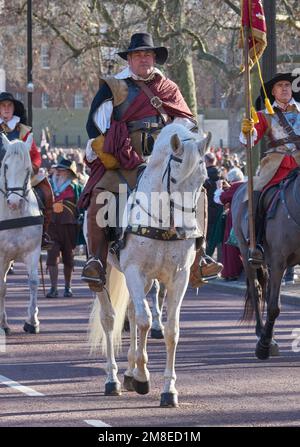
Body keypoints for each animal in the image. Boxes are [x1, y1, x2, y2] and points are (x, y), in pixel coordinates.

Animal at [86, 124, 209, 408]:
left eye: (203, 180)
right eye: (174, 180)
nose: (188, 231)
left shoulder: (178, 277)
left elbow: (171, 330)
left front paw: (168, 390)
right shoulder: (134, 270)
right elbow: (144, 321)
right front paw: (142, 376)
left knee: (131, 312)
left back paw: (129, 372)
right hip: (108, 272)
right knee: (111, 318)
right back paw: (113, 379)